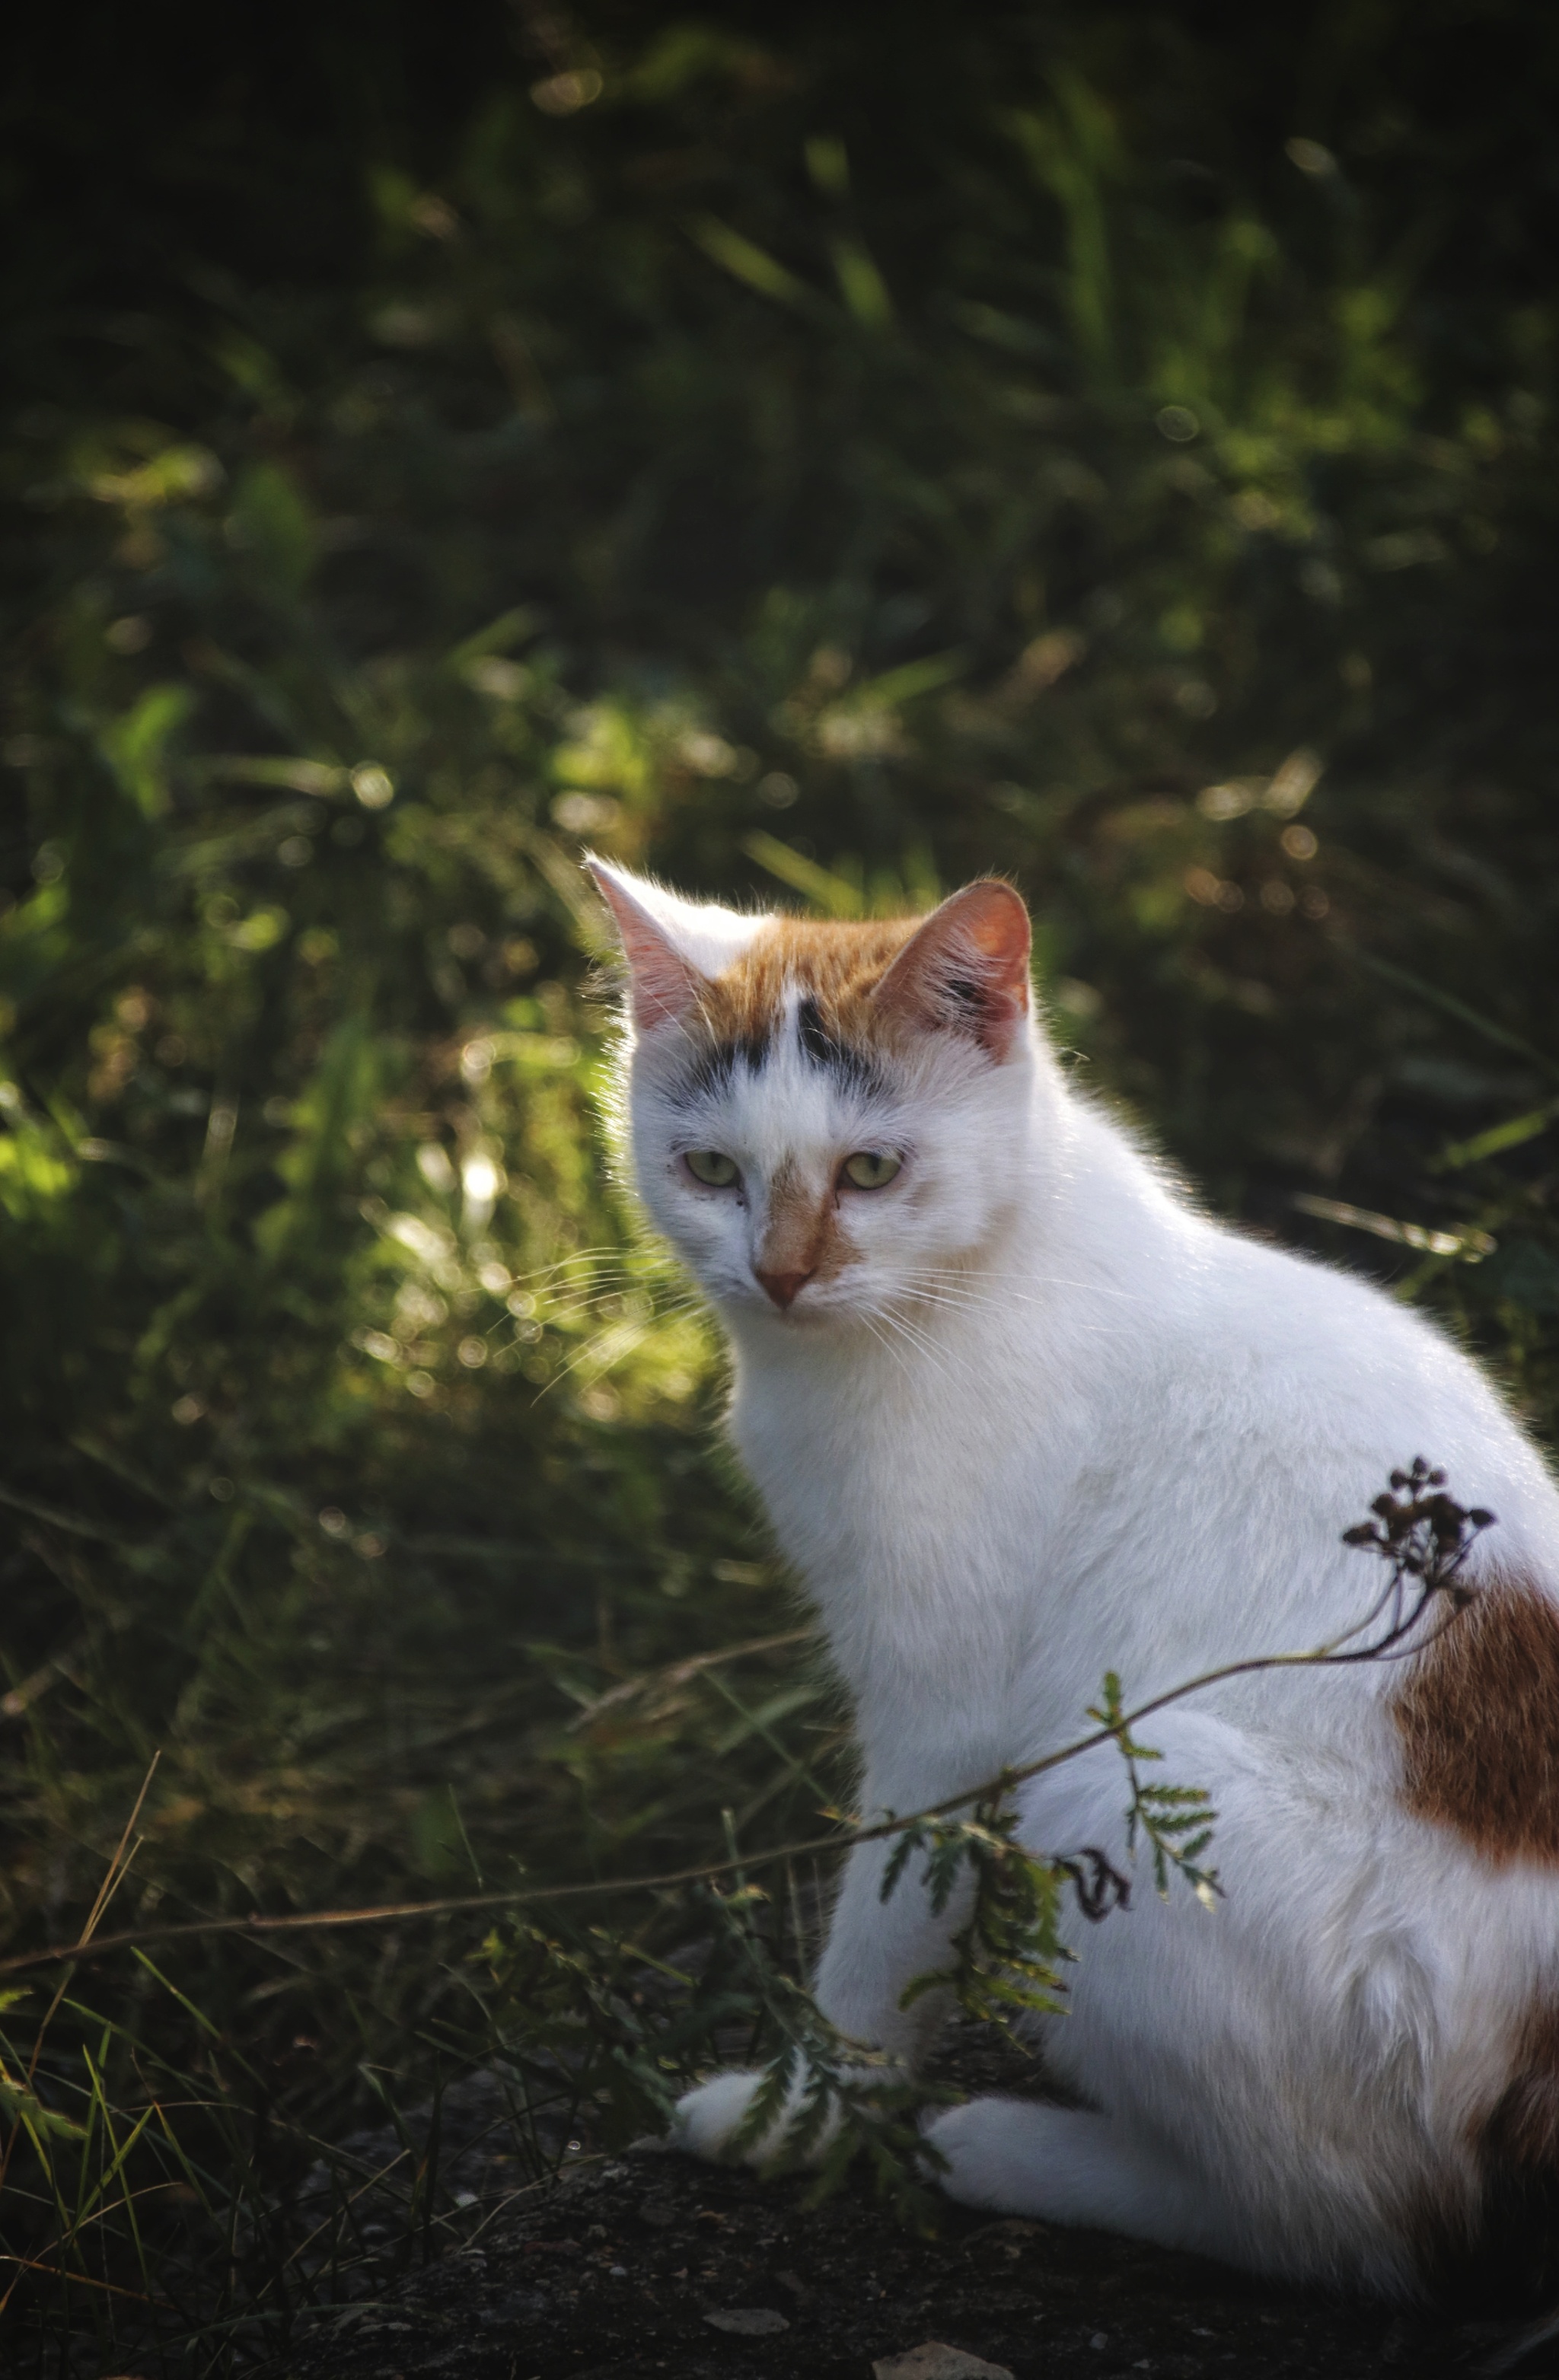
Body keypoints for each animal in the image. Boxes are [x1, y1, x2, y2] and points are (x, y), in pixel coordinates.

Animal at [592, 861, 1559, 2303]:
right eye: (709, 1168)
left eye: (870, 1169)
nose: (778, 1271)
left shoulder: (945, 1718)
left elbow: (882, 1931)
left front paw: (807, 2113)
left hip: (1110, 1776)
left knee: (1367, 2223)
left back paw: (1006, 2149)